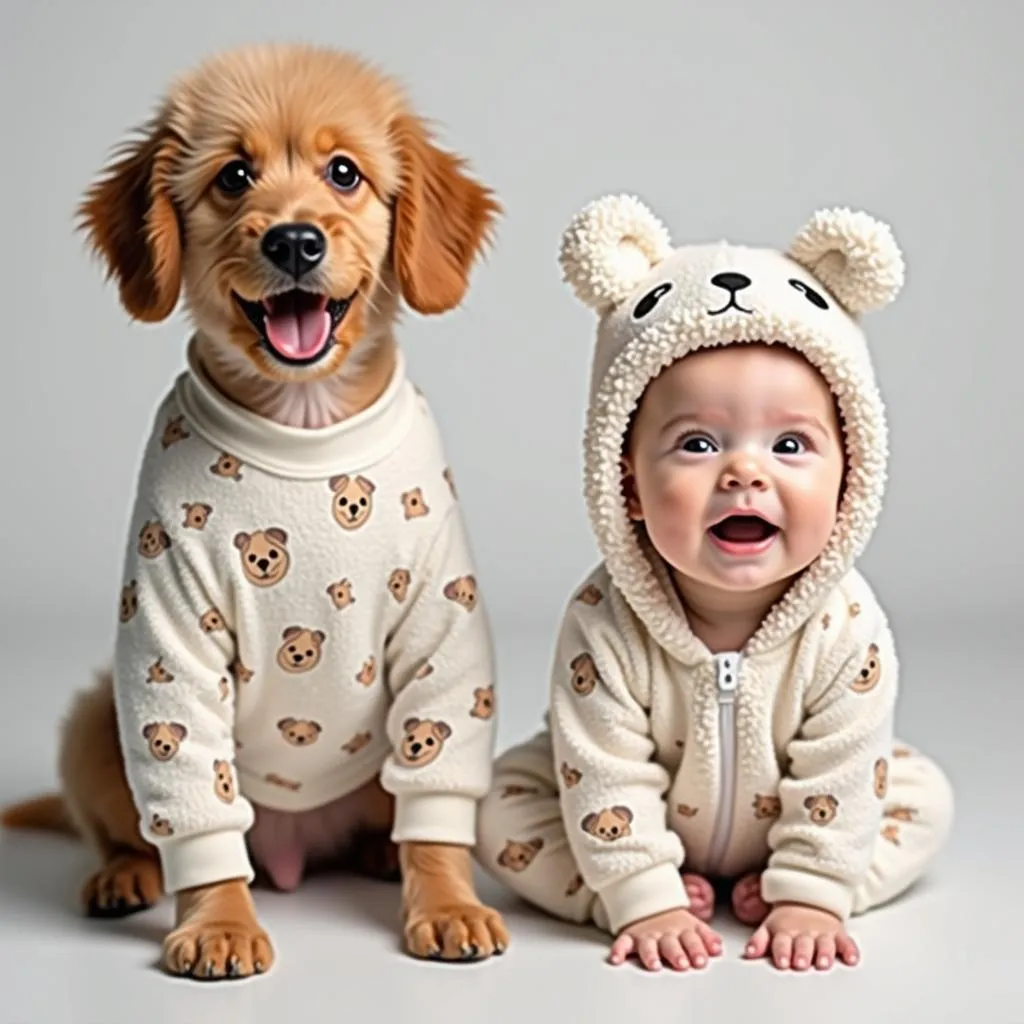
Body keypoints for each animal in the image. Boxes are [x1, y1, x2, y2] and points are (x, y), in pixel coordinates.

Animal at [0, 41, 503, 983]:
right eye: (233, 176)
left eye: (344, 173)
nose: (294, 240)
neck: (302, 429)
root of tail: (294, 850)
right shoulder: (168, 628)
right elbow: (194, 807)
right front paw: (219, 922)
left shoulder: (441, 626)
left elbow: (437, 802)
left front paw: (447, 901)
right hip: (94, 719)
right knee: (127, 828)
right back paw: (122, 877)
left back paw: (380, 853)